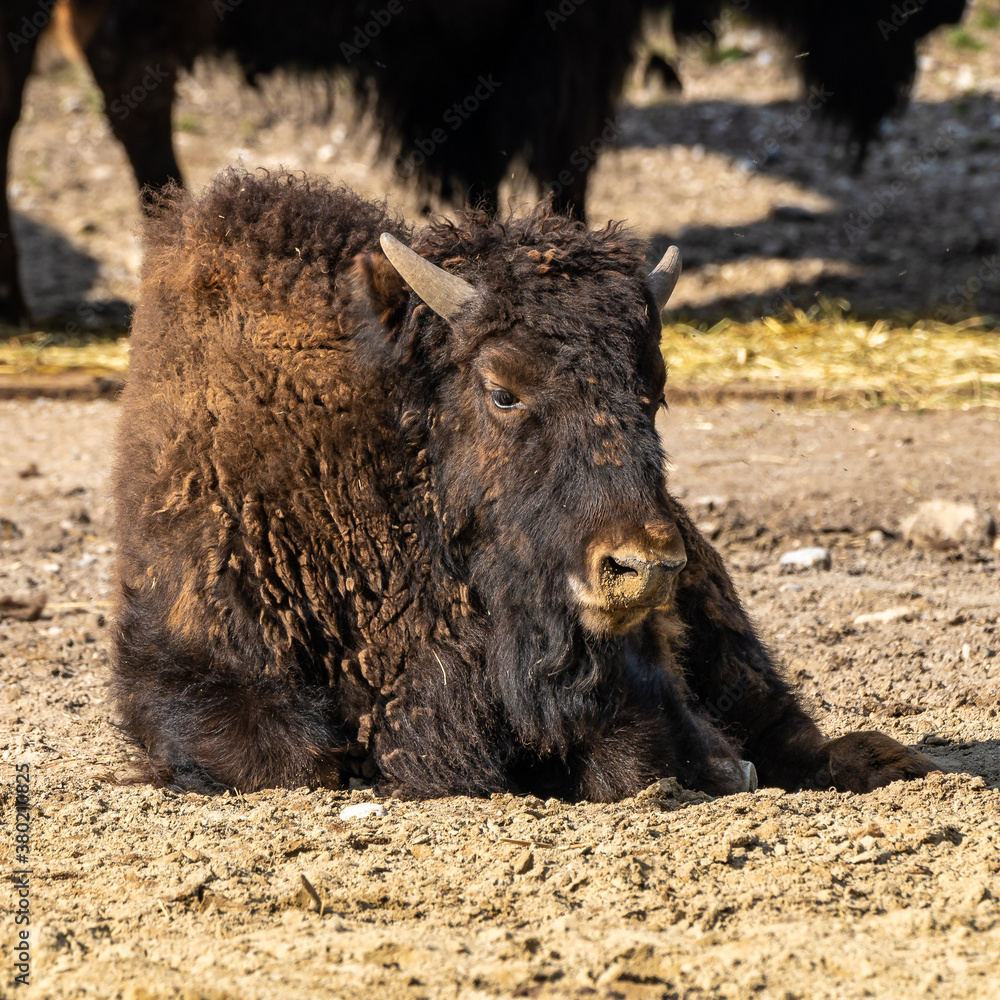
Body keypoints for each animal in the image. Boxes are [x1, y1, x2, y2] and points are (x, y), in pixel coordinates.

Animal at [111, 169, 937, 799]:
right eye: (502, 389)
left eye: (653, 387)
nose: (642, 566)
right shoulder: (198, 669)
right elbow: (303, 760)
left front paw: (718, 767)